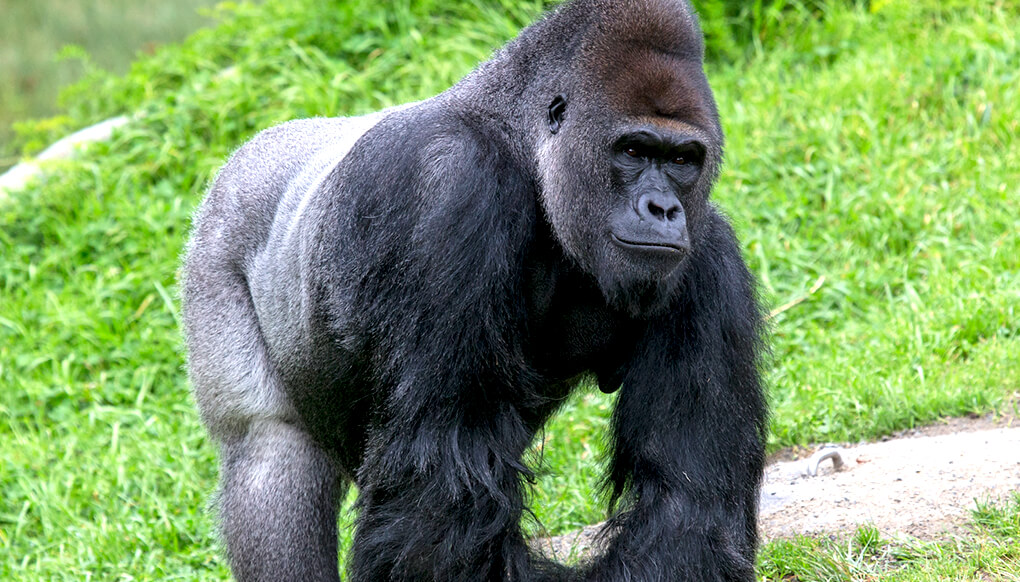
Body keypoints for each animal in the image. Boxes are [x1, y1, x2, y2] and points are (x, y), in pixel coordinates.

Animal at [181, 0, 767, 578]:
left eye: (682, 160)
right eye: (633, 150)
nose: (663, 209)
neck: (521, 146)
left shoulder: (706, 259)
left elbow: (685, 502)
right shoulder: (450, 191)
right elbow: (441, 484)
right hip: (218, 239)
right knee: (269, 451)